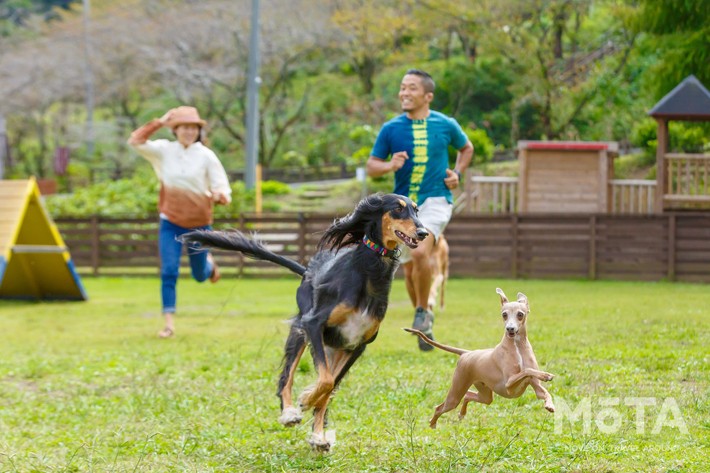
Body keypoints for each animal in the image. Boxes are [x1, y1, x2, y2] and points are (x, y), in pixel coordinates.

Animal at [184, 193, 428, 450]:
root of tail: (308, 272)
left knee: (326, 390)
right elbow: (325, 381)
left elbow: (328, 387)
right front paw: (305, 401)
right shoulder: (313, 324)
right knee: (286, 376)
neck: (369, 272)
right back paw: (289, 413)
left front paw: (316, 426)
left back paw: (319, 436)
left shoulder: (357, 345)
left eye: (416, 210)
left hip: (334, 348)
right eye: (397, 209)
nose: (423, 233)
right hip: (300, 331)